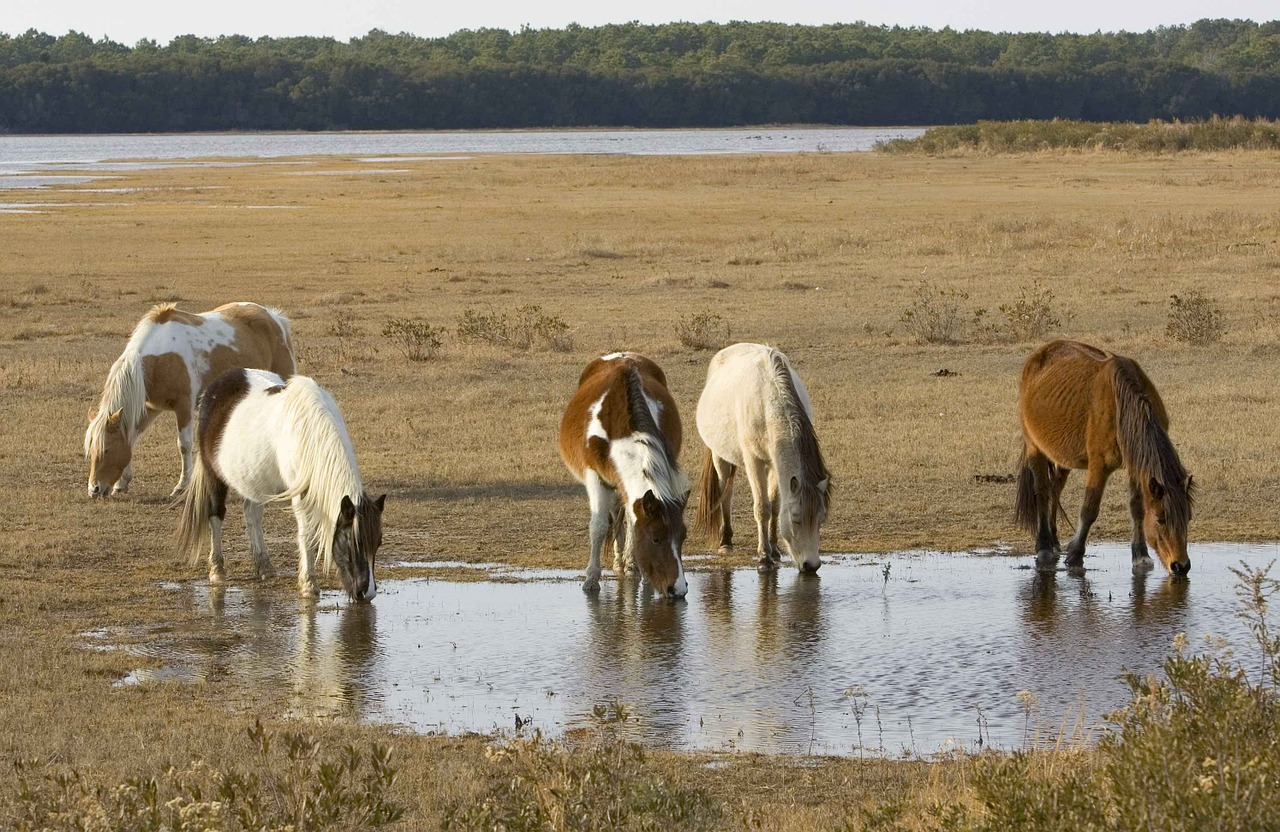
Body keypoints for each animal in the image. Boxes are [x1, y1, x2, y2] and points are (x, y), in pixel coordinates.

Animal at [85, 300, 294, 496]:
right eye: (91, 451)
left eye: (106, 449)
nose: (94, 489)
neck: (159, 359)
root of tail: (274, 318)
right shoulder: (151, 408)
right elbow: (132, 437)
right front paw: (122, 483)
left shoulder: (183, 406)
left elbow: (184, 445)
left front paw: (182, 486)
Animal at [177, 368, 384, 596]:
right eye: (353, 543)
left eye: (378, 543)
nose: (367, 593)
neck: (309, 429)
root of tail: (215, 387)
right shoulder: (301, 495)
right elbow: (306, 534)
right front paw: (308, 584)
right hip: (213, 475)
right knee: (216, 514)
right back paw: (217, 570)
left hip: (253, 479)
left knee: (252, 515)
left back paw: (264, 567)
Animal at [558, 350, 691, 596]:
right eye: (656, 538)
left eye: (683, 536)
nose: (677, 589)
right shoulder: (595, 476)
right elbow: (599, 526)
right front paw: (591, 578)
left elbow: (632, 521)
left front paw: (637, 569)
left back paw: (626, 562)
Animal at [696, 343, 834, 570]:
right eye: (796, 518)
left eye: (821, 519)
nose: (811, 565)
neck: (766, 400)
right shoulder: (755, 463)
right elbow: (762, 508)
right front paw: (763, 555)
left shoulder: (775, 464)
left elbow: (775, 506)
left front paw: (775, 549)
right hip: (719, 457)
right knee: (726, 492)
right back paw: (726, 542)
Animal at [1013, 340, 1192, 573]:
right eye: (1161, 519)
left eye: (1188, 518)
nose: (1181, 566)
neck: (1122, 407)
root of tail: (1038, 355)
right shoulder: (1099, 465)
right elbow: (1089, 509)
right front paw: (1075, 554)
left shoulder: (1135, 464)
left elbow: (1137, 508)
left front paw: (1140, 555)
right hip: (1035, 448)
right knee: (1042, 491)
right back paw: (1043, 547)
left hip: (1062, 458)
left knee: (1055, 489)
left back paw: (1054, 542)